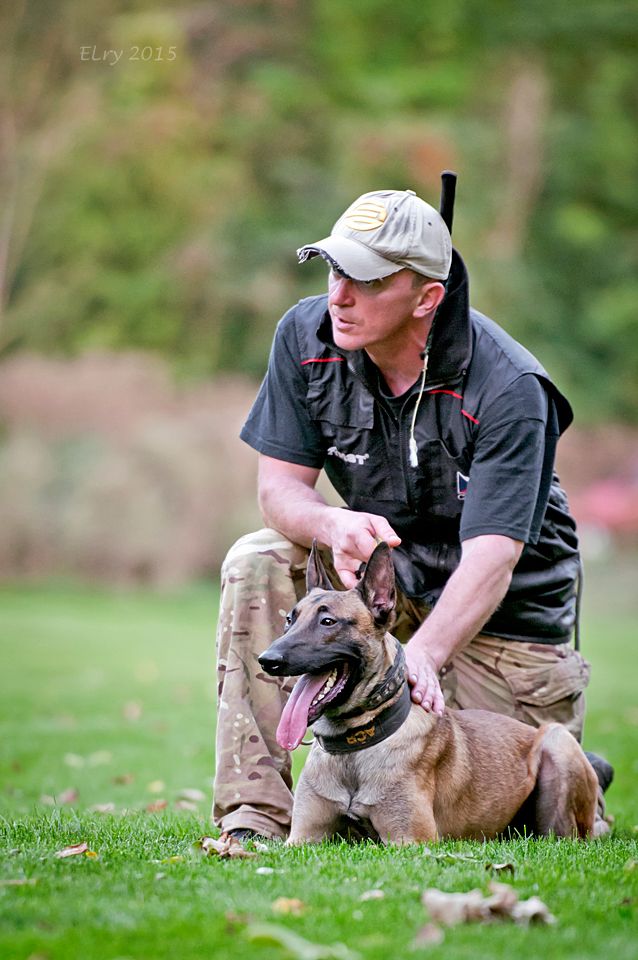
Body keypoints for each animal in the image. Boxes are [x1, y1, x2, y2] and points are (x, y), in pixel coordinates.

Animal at [258, 544, 600, 844]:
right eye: (290, 620)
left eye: (327, 621)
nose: (267, 660)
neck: (355, 746)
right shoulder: (302, 840)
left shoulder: (411, 841)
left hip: (558, 746)